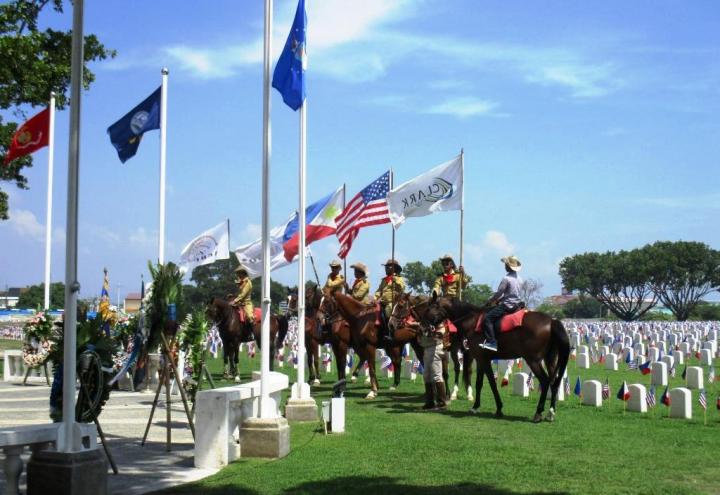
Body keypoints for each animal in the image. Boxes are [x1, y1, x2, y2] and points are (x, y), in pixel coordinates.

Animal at [420, 294, 572, 422]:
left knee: (545, 381)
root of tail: (552, 321)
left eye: (428, 309)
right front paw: (475, 406)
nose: (423, 329)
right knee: (554, 382)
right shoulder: (481, 360)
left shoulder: (483, 360)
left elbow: (492, 384)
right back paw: (550, 412)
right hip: (550, 359)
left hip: (533, 361)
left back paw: (538, 412)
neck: (472, 322)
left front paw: (498, 408)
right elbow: (479, 383)